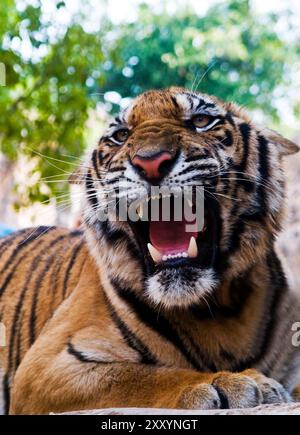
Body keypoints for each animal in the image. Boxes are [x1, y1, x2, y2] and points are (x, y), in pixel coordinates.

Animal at [0, 86, 300, 416]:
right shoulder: (46, 368)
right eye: (120, 135)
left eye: (201, 120)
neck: (218, 312)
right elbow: (140, 376)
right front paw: (232, 382)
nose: (151, 162)